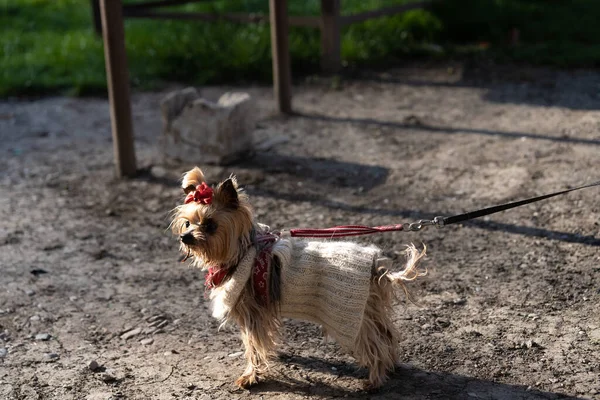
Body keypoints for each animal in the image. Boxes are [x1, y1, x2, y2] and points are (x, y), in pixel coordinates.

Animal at [170, 167, 426, 390]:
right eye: (187, 222)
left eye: (210, 225)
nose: (185, 237)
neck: (244, 250)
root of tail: (375, 265)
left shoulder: (253, 313)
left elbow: (254, 346)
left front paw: (251, 377)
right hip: (368, 309)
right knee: (387, 334)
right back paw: (390, 367)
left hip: (350, 314)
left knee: (374, 342)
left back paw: (374, 380)